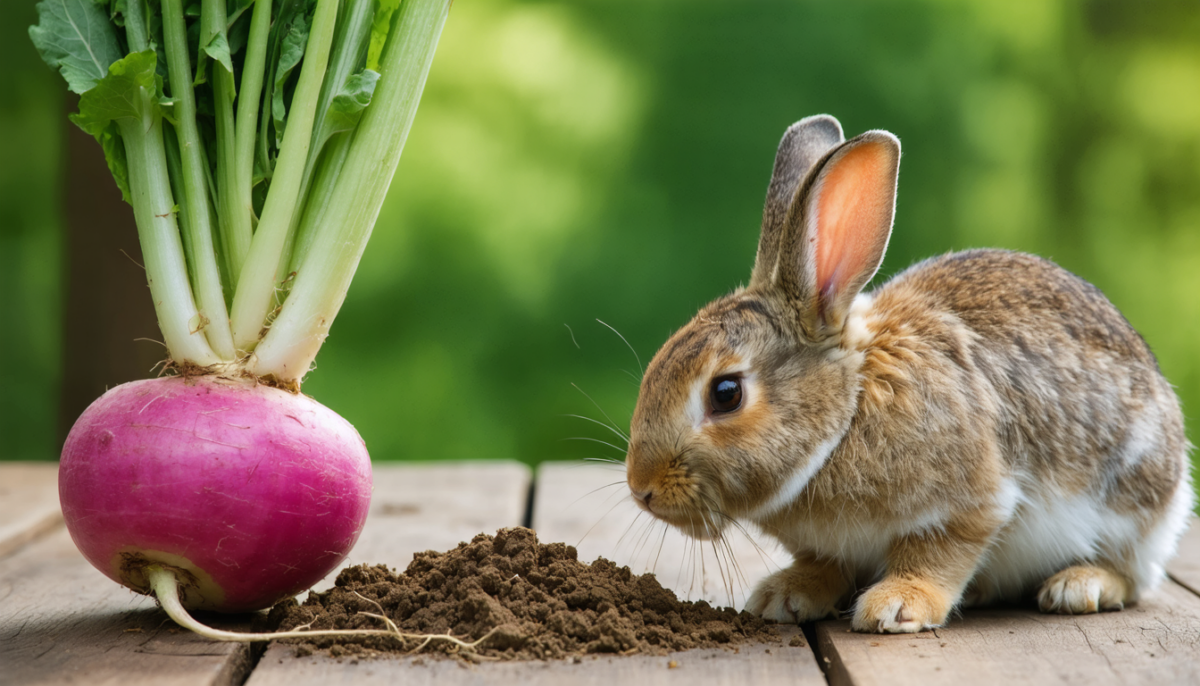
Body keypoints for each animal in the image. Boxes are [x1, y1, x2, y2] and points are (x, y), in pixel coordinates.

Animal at [623, 114, 1194, 633]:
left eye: (726, 393)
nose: (641, 488)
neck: (846, 415)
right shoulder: (829, 546)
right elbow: (823, 565)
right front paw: (785, 596)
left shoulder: (975, 500)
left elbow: (939, 552)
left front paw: (896, 605)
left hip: (1136, 503)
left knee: (1134, 576)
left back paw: (1079, 586)